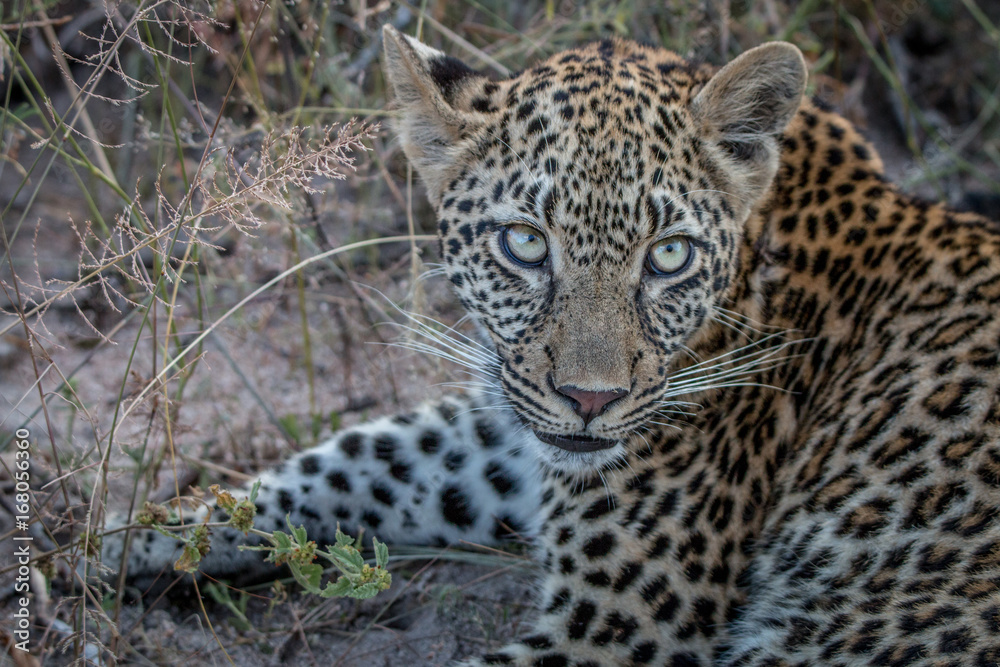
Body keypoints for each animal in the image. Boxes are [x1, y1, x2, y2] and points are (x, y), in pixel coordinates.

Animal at [98, 25, 1000, 666]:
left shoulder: (621, 622)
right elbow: (358, 459)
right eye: (526, 244)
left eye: (668, 255)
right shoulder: (513, 422)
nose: (592, 399)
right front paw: (116, 539)